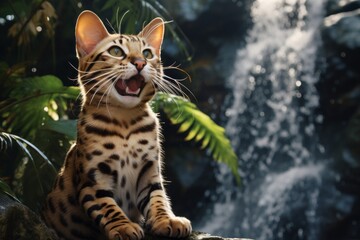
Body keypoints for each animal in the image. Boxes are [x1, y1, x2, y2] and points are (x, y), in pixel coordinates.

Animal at [42, 10, 193, 239]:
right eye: (116, 51)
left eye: (147, 53)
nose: (140, 63)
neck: (125, 121)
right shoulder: (92, 181)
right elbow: (107, 207)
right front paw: (123, 226)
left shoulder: (150, 173)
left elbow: (158, 199)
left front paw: (167, 220)